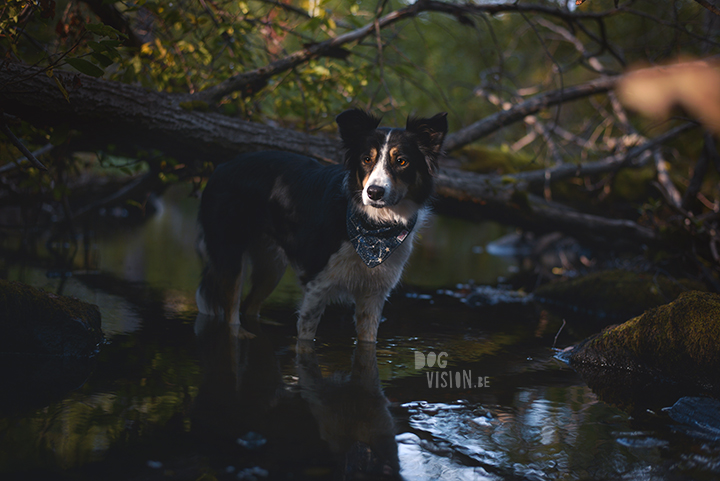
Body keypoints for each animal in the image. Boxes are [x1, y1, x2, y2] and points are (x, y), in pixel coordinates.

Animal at [194, 109, 448, 342]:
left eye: (401, 161)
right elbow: (306, 340)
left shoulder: (373, 295)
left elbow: (368, 342)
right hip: (230, 256)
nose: (374, 192)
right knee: (230, 312)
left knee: (249, 306)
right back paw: (241, 334)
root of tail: (220, 167)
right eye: (366, 159)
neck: (375, 228)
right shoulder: (316, 286)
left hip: (272, 265)